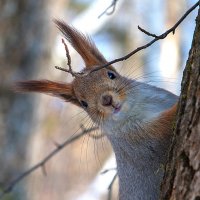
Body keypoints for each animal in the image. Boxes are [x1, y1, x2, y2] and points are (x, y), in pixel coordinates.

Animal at [15, 19, 178, 200]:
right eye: (83, 103)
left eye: (111, 74)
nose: (107, 100)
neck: (138, 108)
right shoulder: (140, 142)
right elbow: (164, 127)